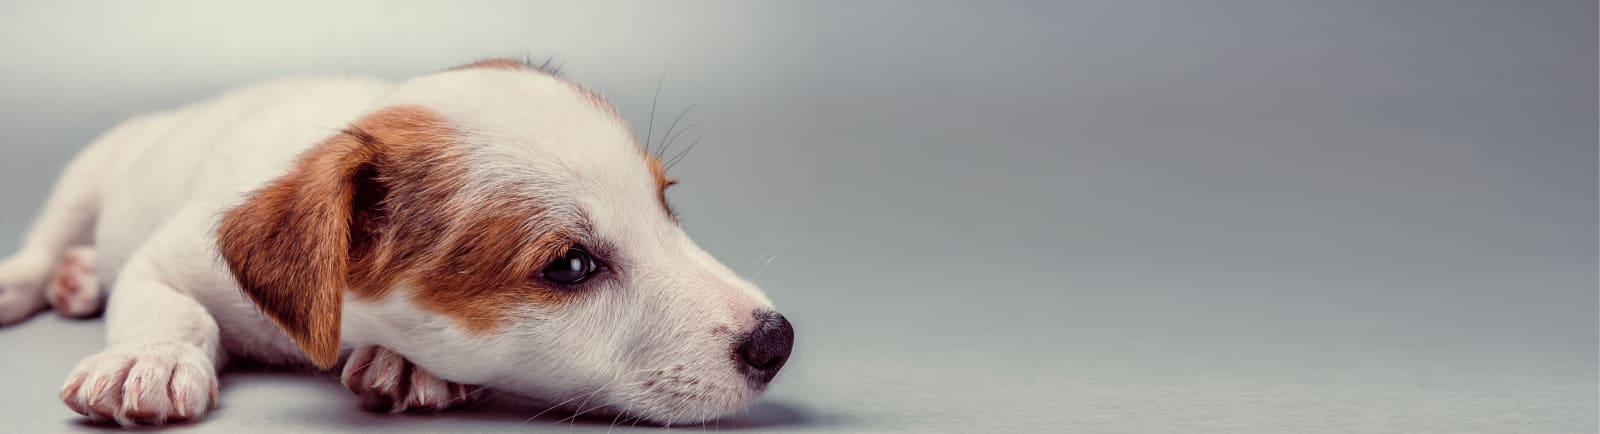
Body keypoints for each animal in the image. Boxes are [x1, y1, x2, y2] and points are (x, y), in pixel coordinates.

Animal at [0, 58, 796, 429]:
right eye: (571, 265)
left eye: (666, 207)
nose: (778, 340)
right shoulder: (167, 259)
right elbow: (172, 308)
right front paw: (150, 359)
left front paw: (404, 364)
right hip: (90, 170)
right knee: (48, 240)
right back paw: (40, 278)